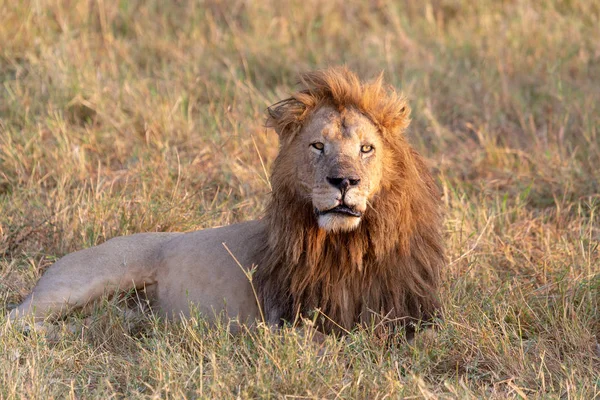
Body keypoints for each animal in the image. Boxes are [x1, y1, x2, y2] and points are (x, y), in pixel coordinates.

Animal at [7, 66, 442, 338]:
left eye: (367, 148)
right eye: (318, 146)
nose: (344, 181)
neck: (349, 245)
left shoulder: (413, 313)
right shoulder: (292, 320)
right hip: (81, 282)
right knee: (13, 320)